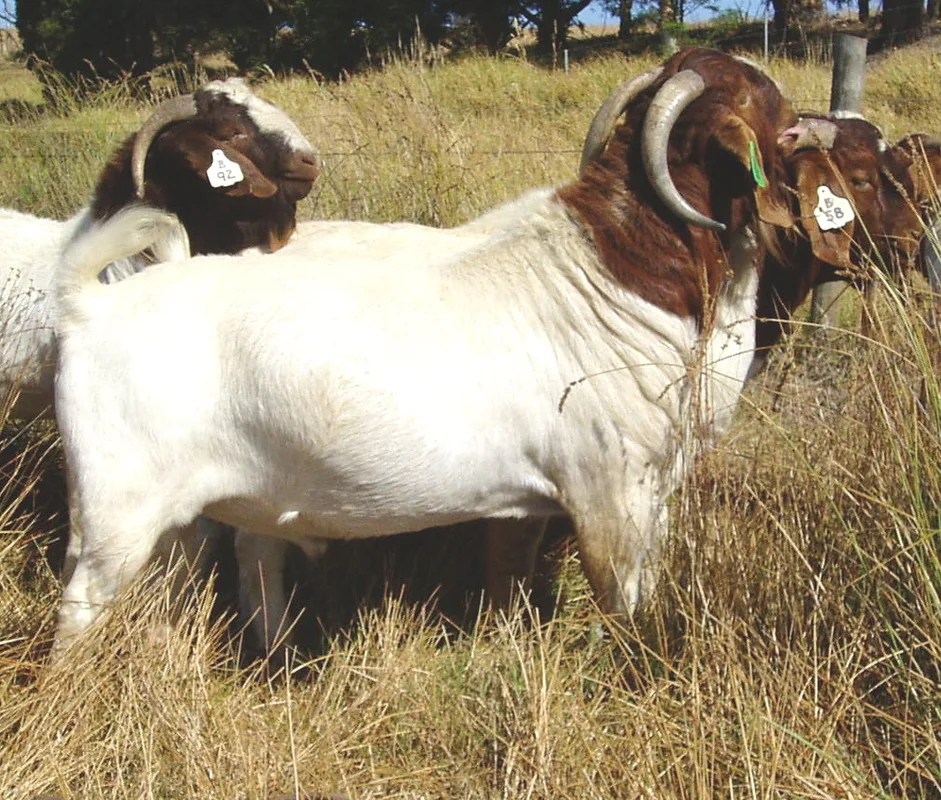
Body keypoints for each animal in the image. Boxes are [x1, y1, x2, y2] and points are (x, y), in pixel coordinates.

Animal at [54, 47, 830, 653]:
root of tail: (90, 302)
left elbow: (513, 576)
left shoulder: (563, 499)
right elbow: (624, 600)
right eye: (769, 105)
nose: (817, 124)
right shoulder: (608, 489)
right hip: (119, 508)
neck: (612, 269)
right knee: (81, 605)